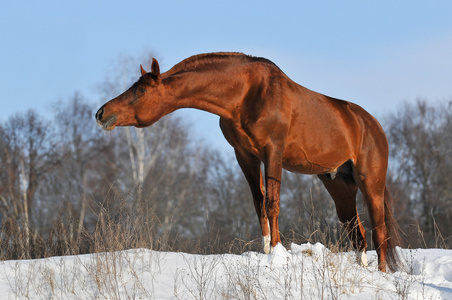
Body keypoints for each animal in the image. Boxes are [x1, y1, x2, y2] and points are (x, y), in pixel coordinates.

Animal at [95, 51, 400, 272]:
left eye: (141, 92)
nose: (101, 113)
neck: (246, 93)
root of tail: (371, 125)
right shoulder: (245, 155)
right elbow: (258, 202)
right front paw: (265, 250)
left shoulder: (273, 152)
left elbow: (273, 203)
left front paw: (276, 252)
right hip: (339, 185)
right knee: (357, 231)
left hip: (370, 183)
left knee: (379, 231)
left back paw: (382, 272)